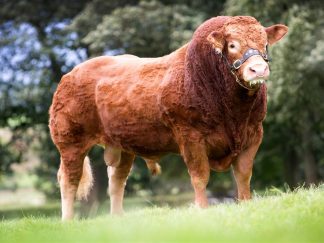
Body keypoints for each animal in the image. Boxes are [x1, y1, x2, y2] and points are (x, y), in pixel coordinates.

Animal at [49, 15, 288, 220]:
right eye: (232, 45)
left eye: (265, 43)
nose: (258, 69)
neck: (234, 115)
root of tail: (70, 74)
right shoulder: (191, 137)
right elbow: (200, 176)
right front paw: (202, 209)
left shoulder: (254, 133)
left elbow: (243, 174)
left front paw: (246, 204)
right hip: (70, 140)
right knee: (69, 180)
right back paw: (68, 221)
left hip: (123, 146)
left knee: (116, 180)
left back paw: (118, 219)